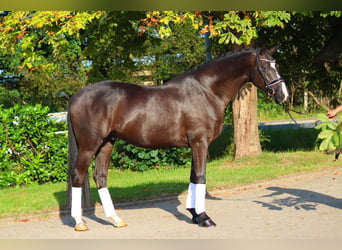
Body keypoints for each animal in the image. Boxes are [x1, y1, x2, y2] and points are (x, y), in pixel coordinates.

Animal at [67, 47, 288, 230]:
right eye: (264, 67)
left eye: (276, 65)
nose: (283, 95)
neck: (207, 91)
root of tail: (76, 96)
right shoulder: (200, 142)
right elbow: (201, 176)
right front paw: (205, 217)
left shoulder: (195, 144)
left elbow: (193, 177)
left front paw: (195, 215)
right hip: (89, 146)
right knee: (77, 175)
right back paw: (79, 222)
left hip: (107, 143)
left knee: (100, 176)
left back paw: (116, 219)